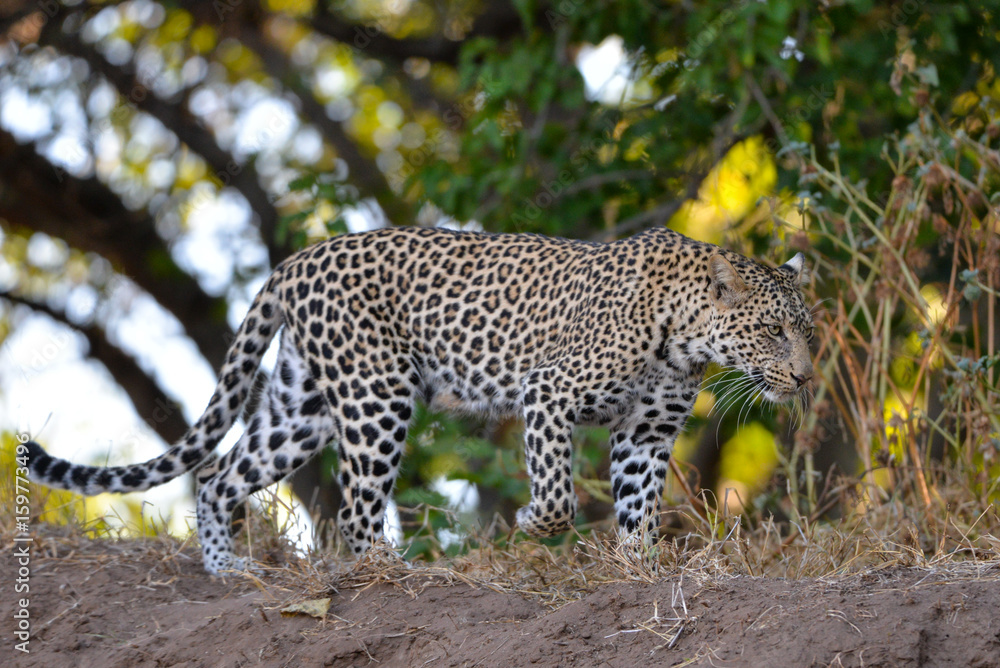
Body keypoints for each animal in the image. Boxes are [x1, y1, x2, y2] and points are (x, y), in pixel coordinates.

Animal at [26, 225, 815, 574]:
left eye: (807, 332)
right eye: (774, 331)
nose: (807, 377)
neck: (689, 339)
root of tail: (296, 258)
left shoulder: (645, 434)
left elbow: (638, 501)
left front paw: (640, 565)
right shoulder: (548, 393)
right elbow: (559, 495)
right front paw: (528, 526)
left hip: (302, 408)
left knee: (221, 473)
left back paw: (228, 570)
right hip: (377, 396)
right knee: (354, 508)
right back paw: (392, 570)